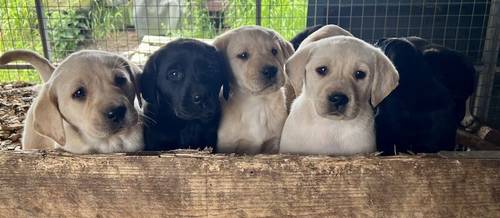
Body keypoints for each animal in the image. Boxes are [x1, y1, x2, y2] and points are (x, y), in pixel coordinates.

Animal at [214, 25, 292, 154]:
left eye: (274, 51)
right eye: (243, 55)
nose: (271, 70)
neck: (258, 103)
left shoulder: (274, 142)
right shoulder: (227, 145)